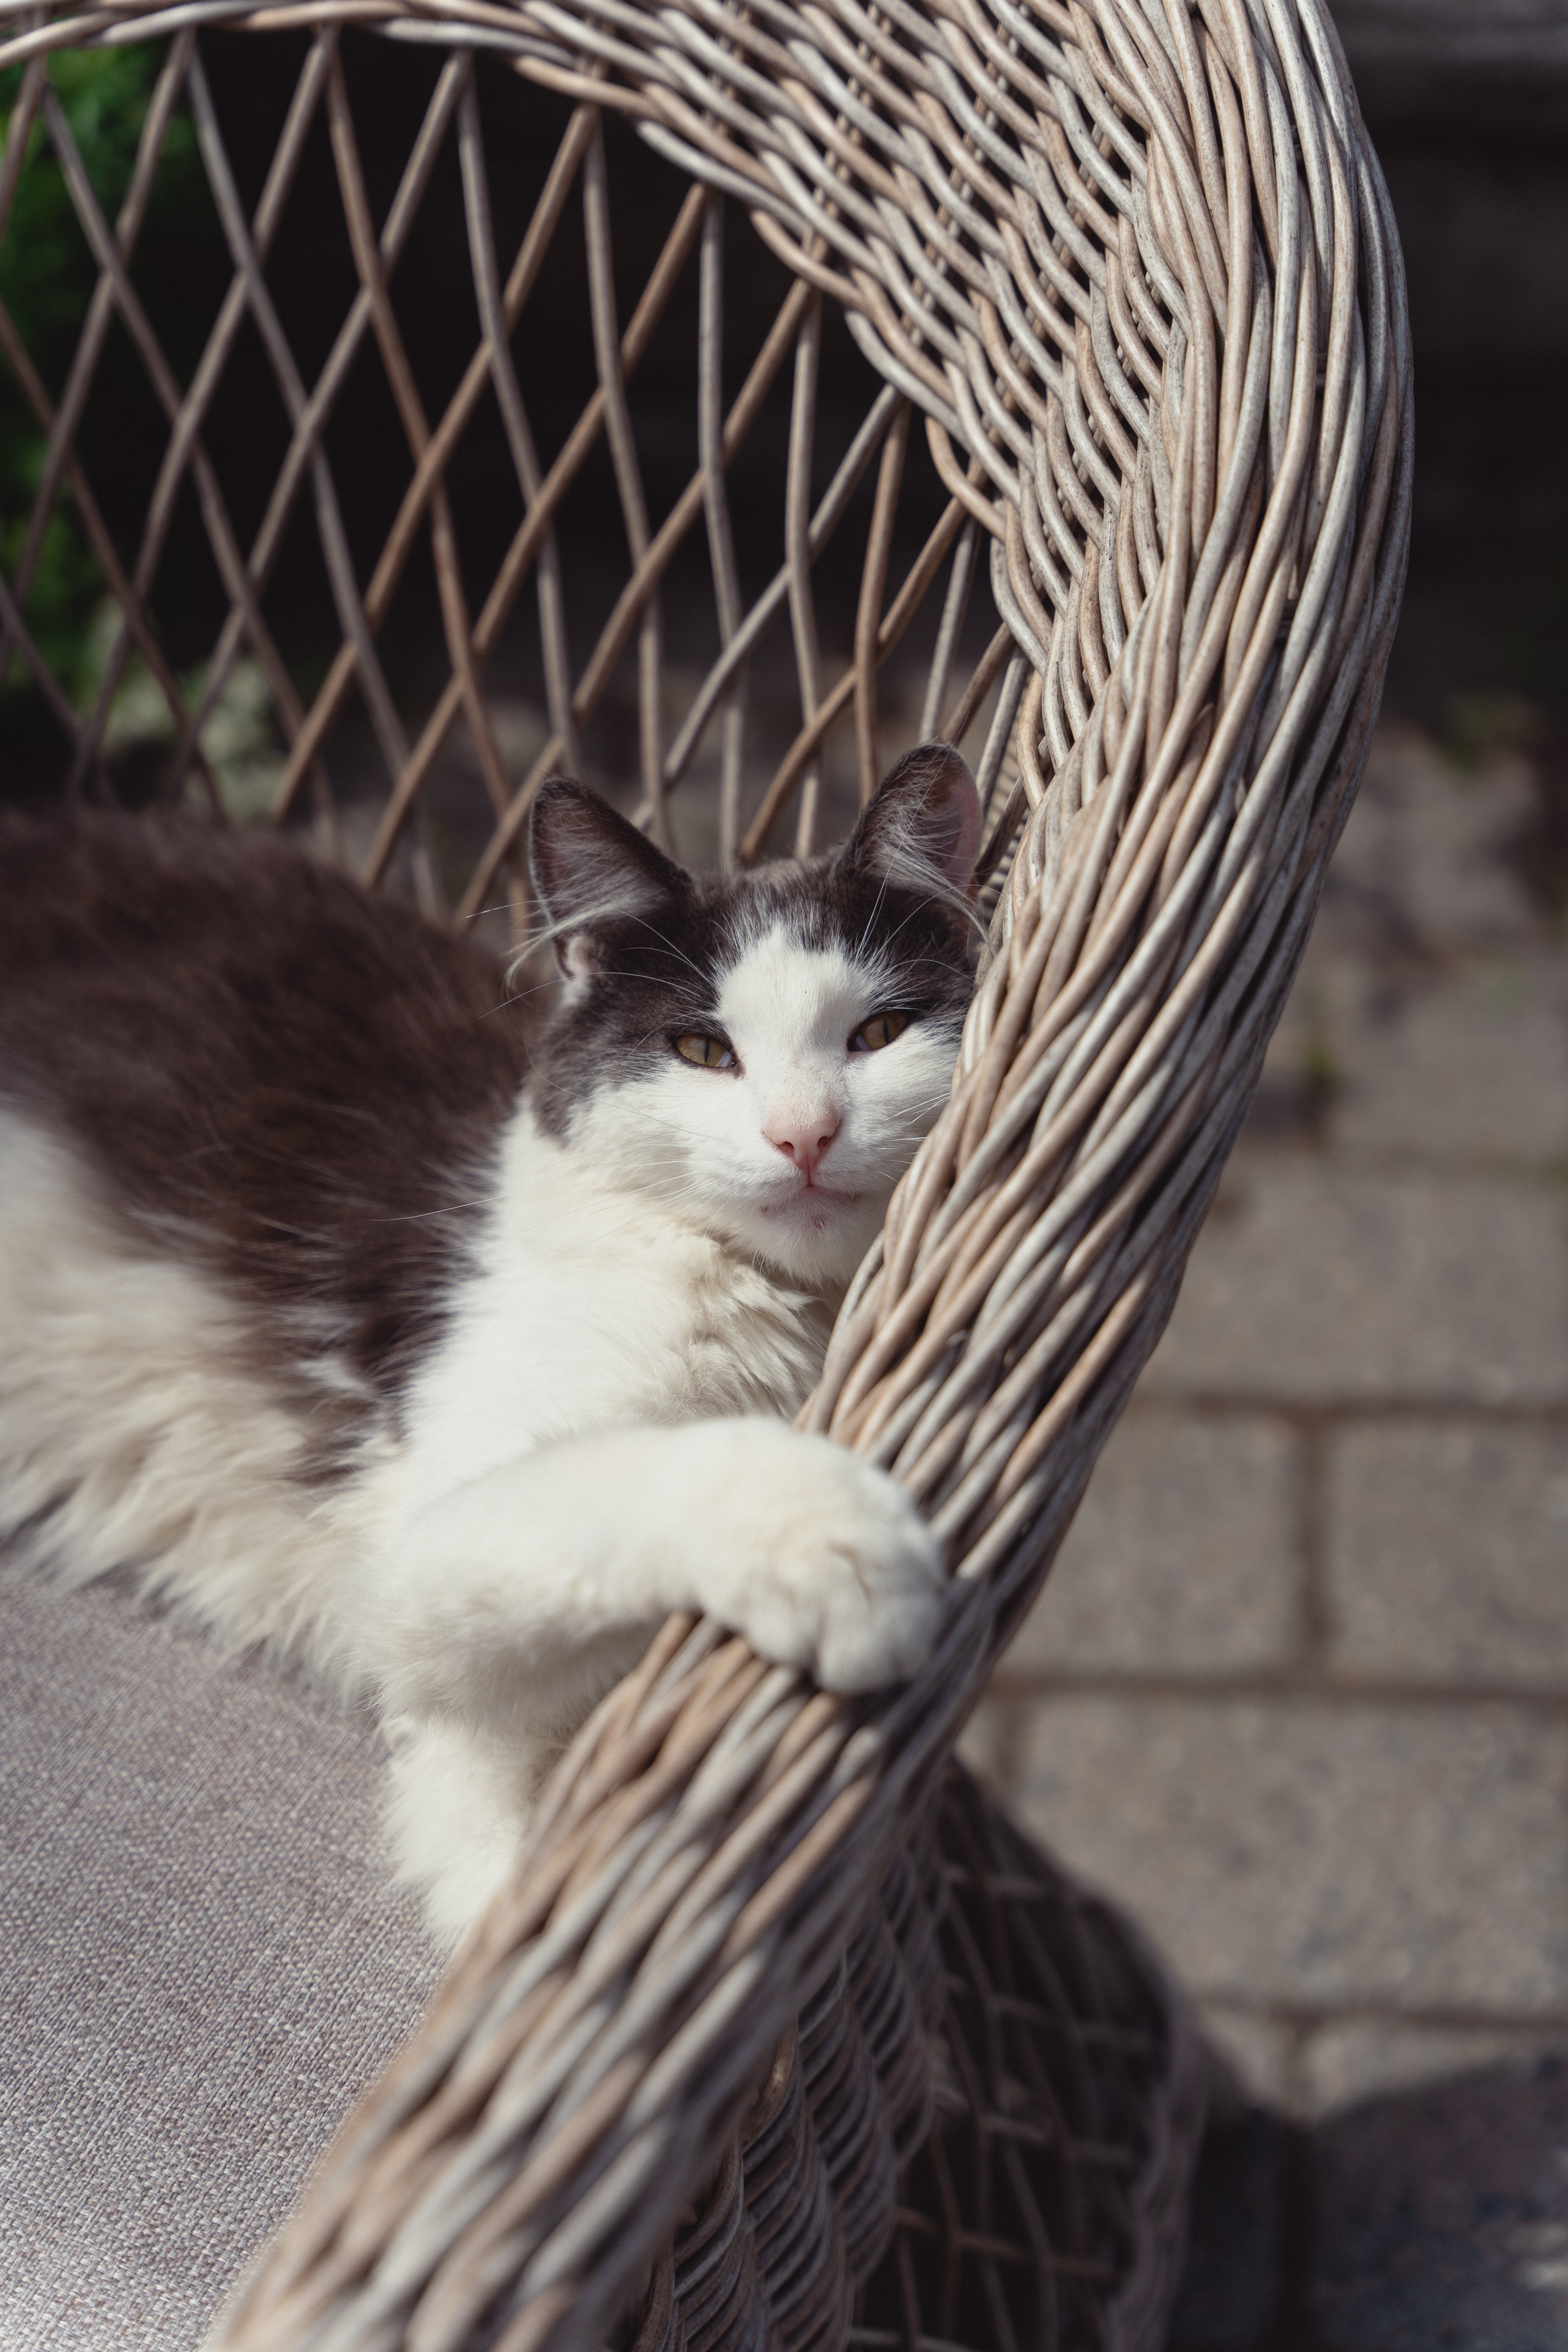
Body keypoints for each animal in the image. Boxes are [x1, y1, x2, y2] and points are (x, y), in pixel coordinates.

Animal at [0, 753, 982, 1947]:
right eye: (703, 1050)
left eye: (877, 1035)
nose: (804, 1137)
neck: (784, 1310)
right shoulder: (419, 1561)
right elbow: (638, 1475)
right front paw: (842, 1542)